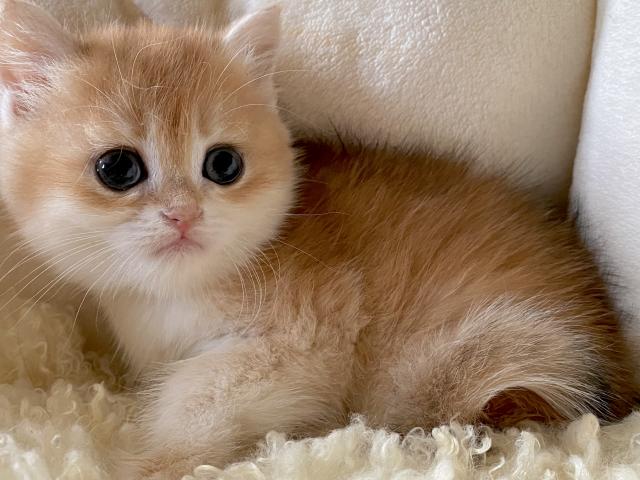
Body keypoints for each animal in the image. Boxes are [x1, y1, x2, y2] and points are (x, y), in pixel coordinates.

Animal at [0, 1, 636, 478]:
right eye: (118, 169)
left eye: (223, 164)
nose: (184, 215)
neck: (175, 296)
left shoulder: (309, 348)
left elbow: (199, 388)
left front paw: (156, 459)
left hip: (459, 362)